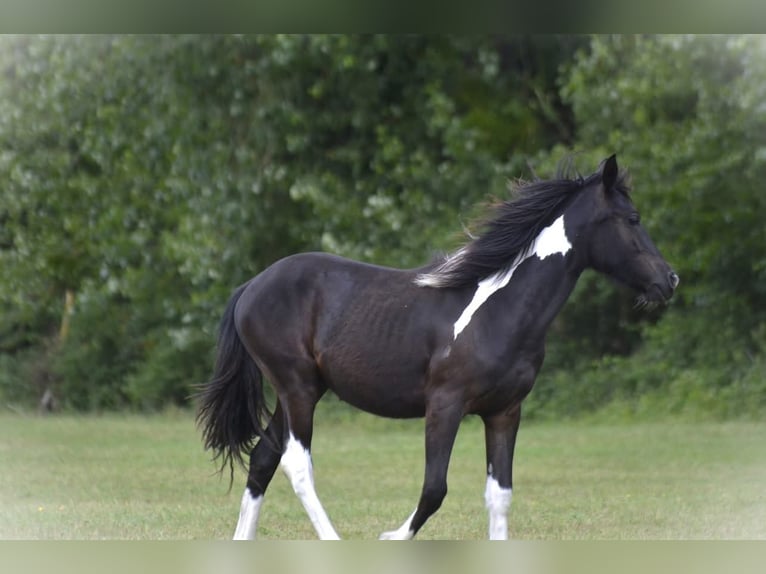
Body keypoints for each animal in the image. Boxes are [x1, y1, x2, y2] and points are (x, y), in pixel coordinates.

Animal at [196, 155, 678, 540]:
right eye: (632, 219)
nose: (669, 279)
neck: (500, 311)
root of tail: (251, 287)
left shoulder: (505, 412)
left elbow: (499, 497)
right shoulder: (444, 405)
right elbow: (434, 490)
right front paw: (391, 536)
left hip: (299, 391)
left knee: (262, 459)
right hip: (297, 389)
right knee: (296, 464)